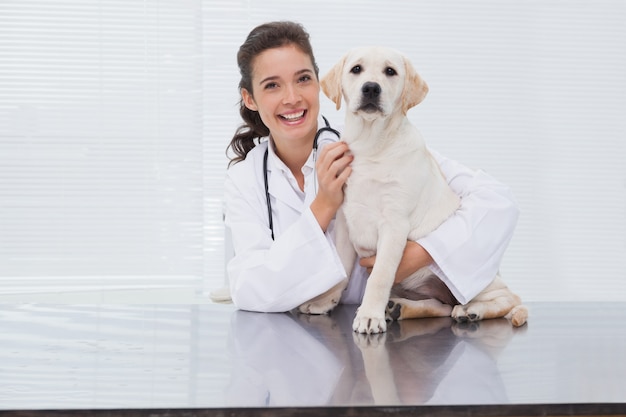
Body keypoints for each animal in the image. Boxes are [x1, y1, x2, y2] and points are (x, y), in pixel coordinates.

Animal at [298, 44, 528, 332]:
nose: (371, 88)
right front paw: (324, 301)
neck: (370, 145)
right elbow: (341, 271)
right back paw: (399, 307)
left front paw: (369, 315)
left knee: (508, 298)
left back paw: (472, 310)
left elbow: (379, 276)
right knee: (441, 307)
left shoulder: (394, 224)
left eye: (390, 71)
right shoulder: (345, 224)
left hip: (475, 278)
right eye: (356, 69)